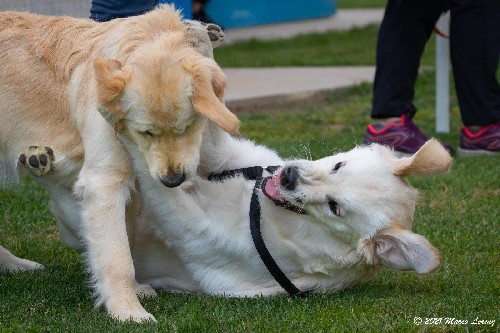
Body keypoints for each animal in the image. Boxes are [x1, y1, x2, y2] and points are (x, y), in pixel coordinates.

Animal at [0, 5, 238, 320]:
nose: (172, 181)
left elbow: (126, 238)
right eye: (146, 132)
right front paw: (128, 311)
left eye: (185, 128)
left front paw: (134, 291)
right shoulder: (105, 182)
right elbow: (117, 256)